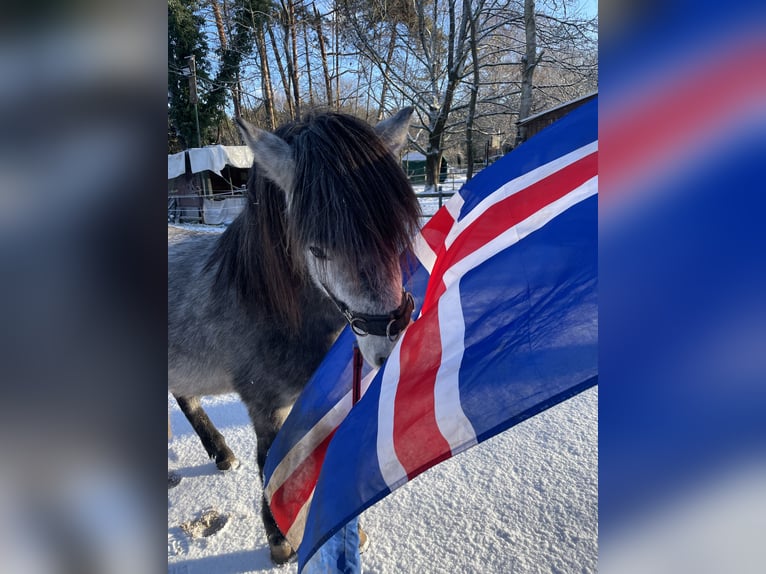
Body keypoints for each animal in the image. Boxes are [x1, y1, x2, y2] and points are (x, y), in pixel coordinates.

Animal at [168, 108, 421, 564]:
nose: (389, 348)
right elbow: (271, 462)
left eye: (395, 235)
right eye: (317, 249)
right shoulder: (264, 404)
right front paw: (280, 540)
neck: (266, 306)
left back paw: (220, 455)